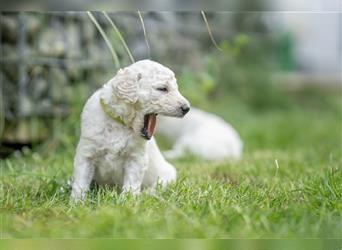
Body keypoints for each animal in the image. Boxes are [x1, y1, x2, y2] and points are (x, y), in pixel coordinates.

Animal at [71, 60, 191, 201]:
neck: (120, 122)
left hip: (168, 175)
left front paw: (127, 201)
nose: (187, 108)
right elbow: (81, 181)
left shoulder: (136, 158)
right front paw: (77, 202)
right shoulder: (87, 154)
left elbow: (131, 184)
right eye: (162, 89)